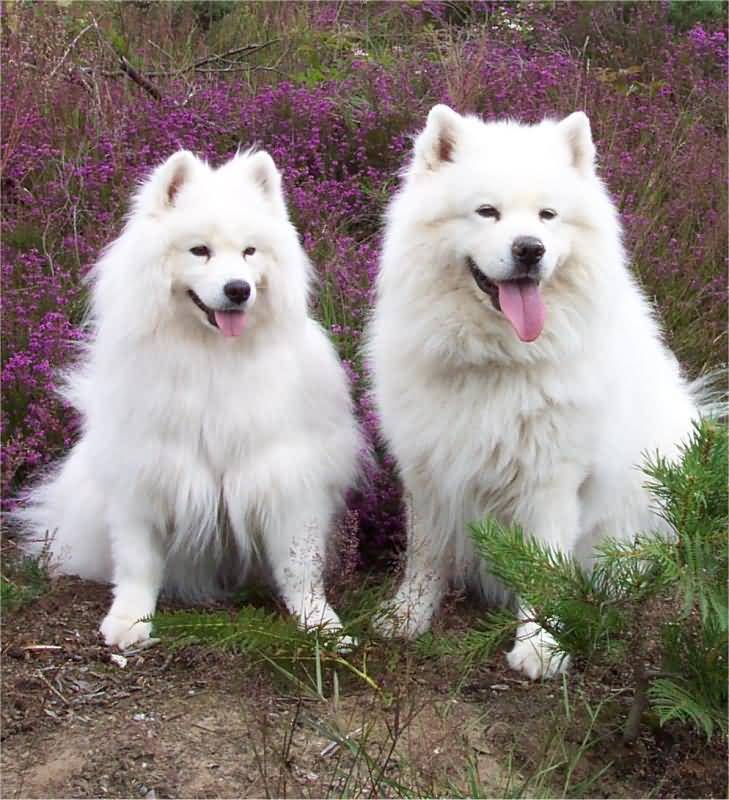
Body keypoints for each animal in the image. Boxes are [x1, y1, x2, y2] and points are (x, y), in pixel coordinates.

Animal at [14, 148, 362, 648]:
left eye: (249, 252)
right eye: (200, 250)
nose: (238, 289)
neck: (212, 356)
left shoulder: (285, 476)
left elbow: (300, 565)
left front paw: (321, 625)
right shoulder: (145, 472)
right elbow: (138, 563)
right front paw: (130, 621)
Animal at [370, 104, 704, 680]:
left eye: (548, 216)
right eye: (487, 212)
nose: (530, 249)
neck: (498, 361)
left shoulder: (551, 480)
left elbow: (543, 567)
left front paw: (541, 646)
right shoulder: (428, 467)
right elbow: (424, 554)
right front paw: (408, 614)